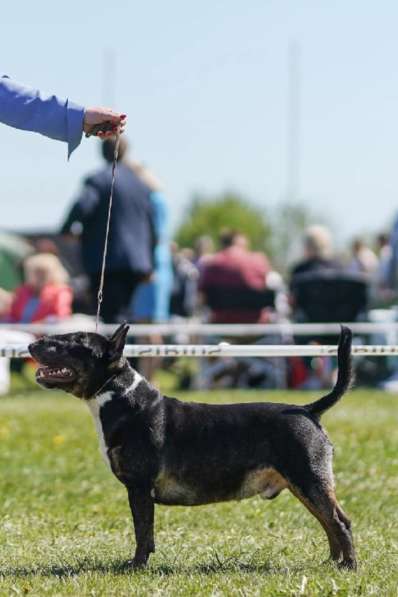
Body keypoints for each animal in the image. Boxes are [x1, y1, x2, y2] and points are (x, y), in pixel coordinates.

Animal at [28, 324, 358, 572]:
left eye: (73, 342)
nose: (32, 345)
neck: (120, 397)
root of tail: (308, 410)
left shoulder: (139, 486)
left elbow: (142, 530)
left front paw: (136, 566)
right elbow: (145, 531)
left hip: (309, 477)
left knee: (339, 521)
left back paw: (348, 566)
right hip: (302, 484)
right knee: (326, 521)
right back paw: (332, 562)